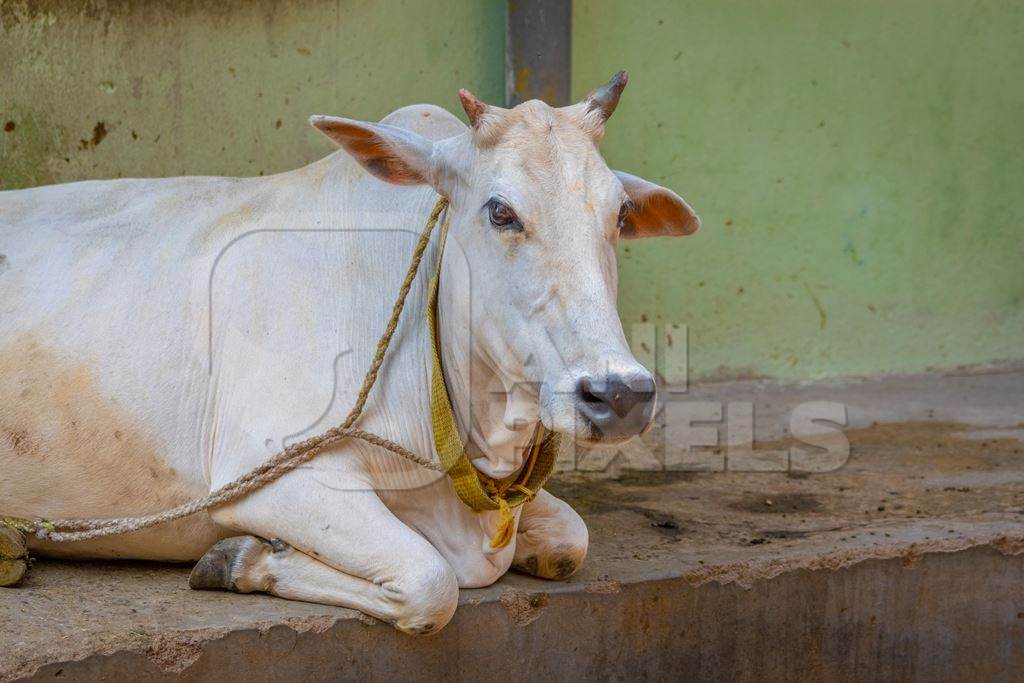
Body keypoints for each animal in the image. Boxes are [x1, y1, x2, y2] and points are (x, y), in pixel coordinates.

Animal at [0, 72, 696, 634]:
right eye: (500, 212)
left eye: (620, 214)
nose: (619, 395)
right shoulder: (270, 474)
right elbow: (430, 583)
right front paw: (243, 556)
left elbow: (571, 540)